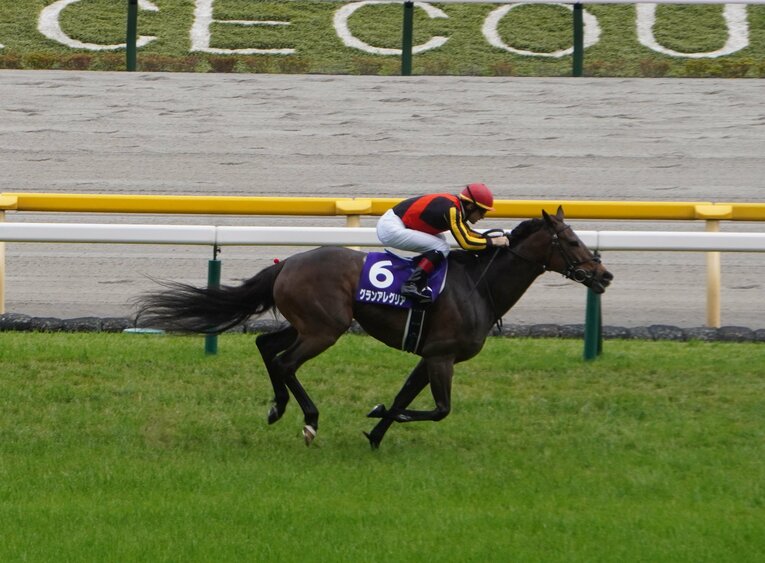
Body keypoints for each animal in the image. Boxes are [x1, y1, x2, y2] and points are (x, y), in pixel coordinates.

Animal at [136, 207, 612, 449]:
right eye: (572, 241)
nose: (604, 276)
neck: (478, 286)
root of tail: (286, 263)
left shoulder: (431, 354)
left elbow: (408, 396)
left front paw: (377, 432)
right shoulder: (442, 356)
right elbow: (439, 409)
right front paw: (380, 412)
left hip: (311, 323)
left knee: (266, 345)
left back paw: (277, 408)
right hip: (324, 329)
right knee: (286, 362)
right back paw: (309, 421)